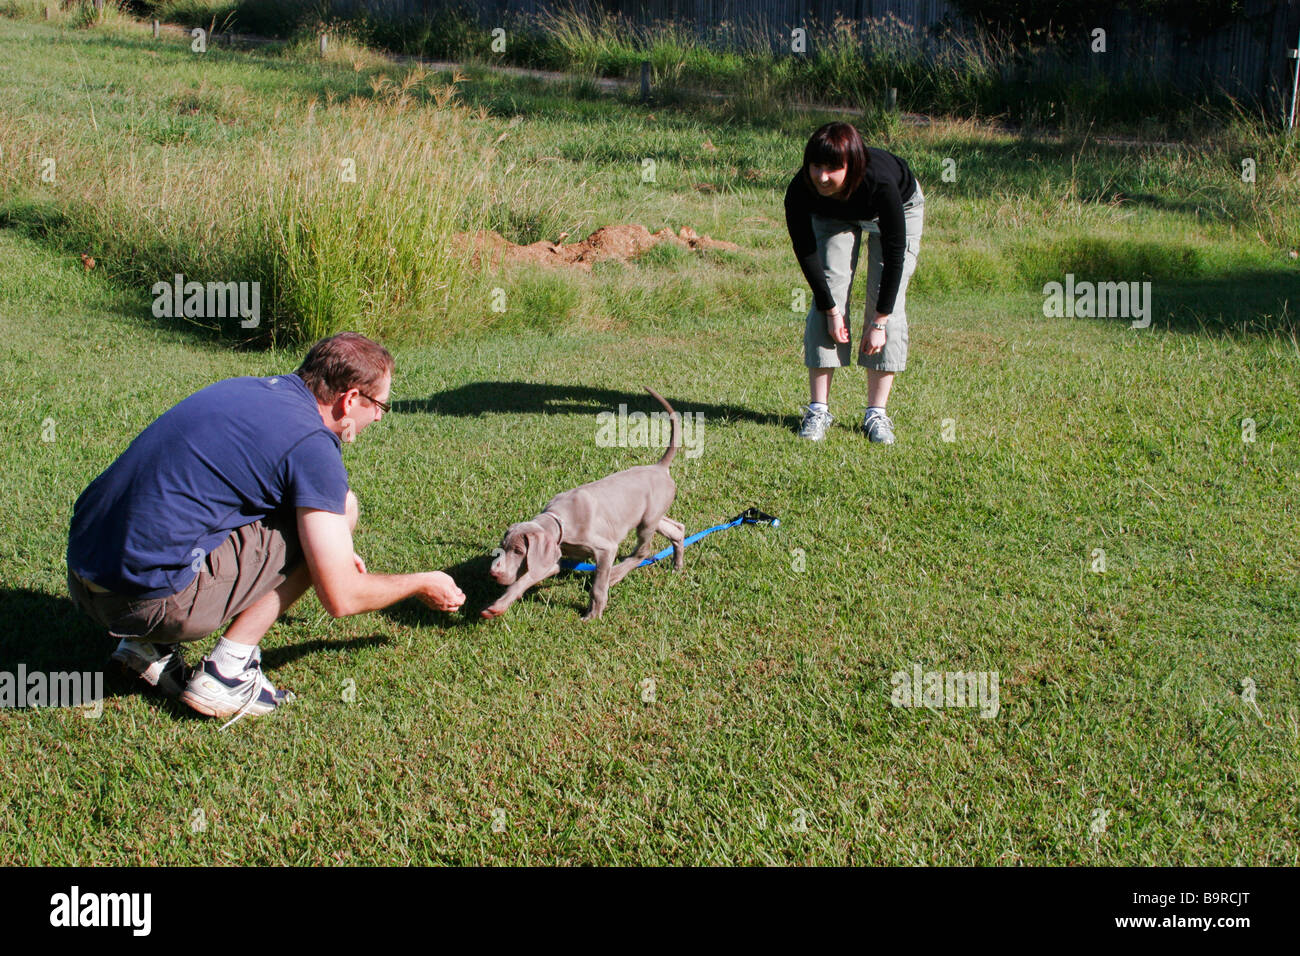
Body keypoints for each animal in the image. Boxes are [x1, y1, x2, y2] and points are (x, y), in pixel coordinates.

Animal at [486, 387, 686, 621]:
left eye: (518, 551)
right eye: (503, 546)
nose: (493, 573)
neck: (560, 520)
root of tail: (659, 467)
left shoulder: (606, 549)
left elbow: (598, 587)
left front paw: (594, 614)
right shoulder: (553, 557)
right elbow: (525, 579)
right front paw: (498, 605)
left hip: (647, 522)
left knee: (642, 551)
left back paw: (615, 575)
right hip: (650, 515)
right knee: (676, 529)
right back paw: (677, 565)